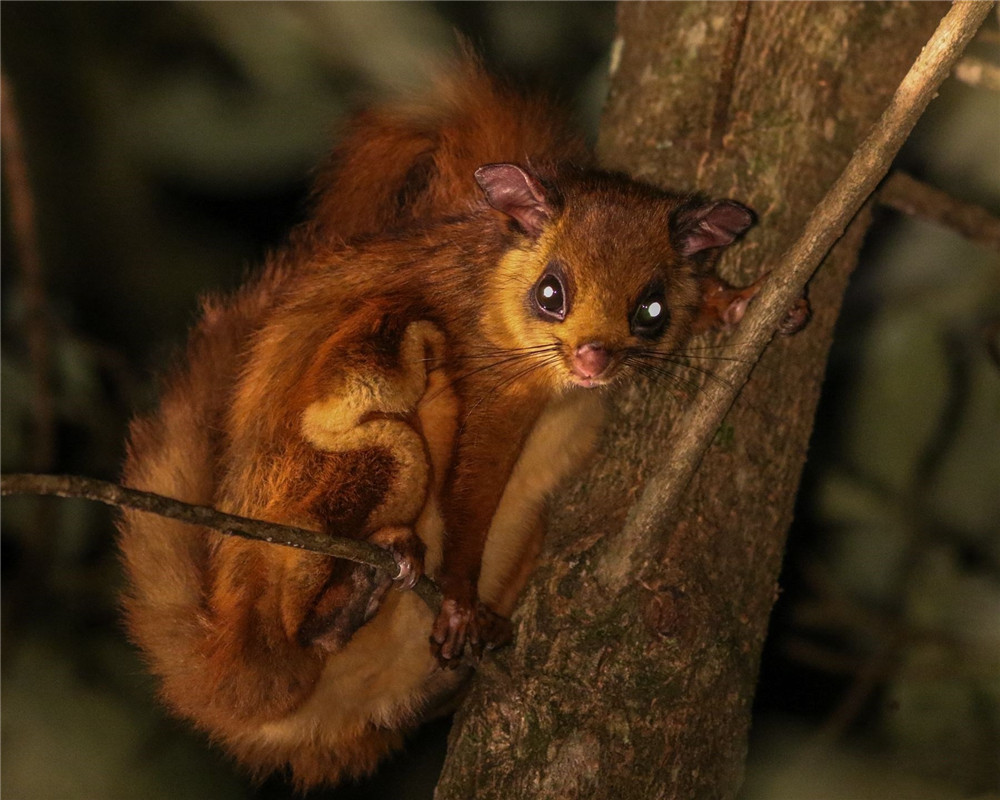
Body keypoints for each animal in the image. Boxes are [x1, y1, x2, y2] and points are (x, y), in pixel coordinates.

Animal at [115, 54, 804, 788]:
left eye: (650, 310)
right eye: (552, 293)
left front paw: (748, 304)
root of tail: (227, 654)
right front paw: (458, 600)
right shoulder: (492, 380)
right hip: (310, 511)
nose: (594, 357)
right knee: (387, 373)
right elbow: (472, 488)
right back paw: (361, 587)